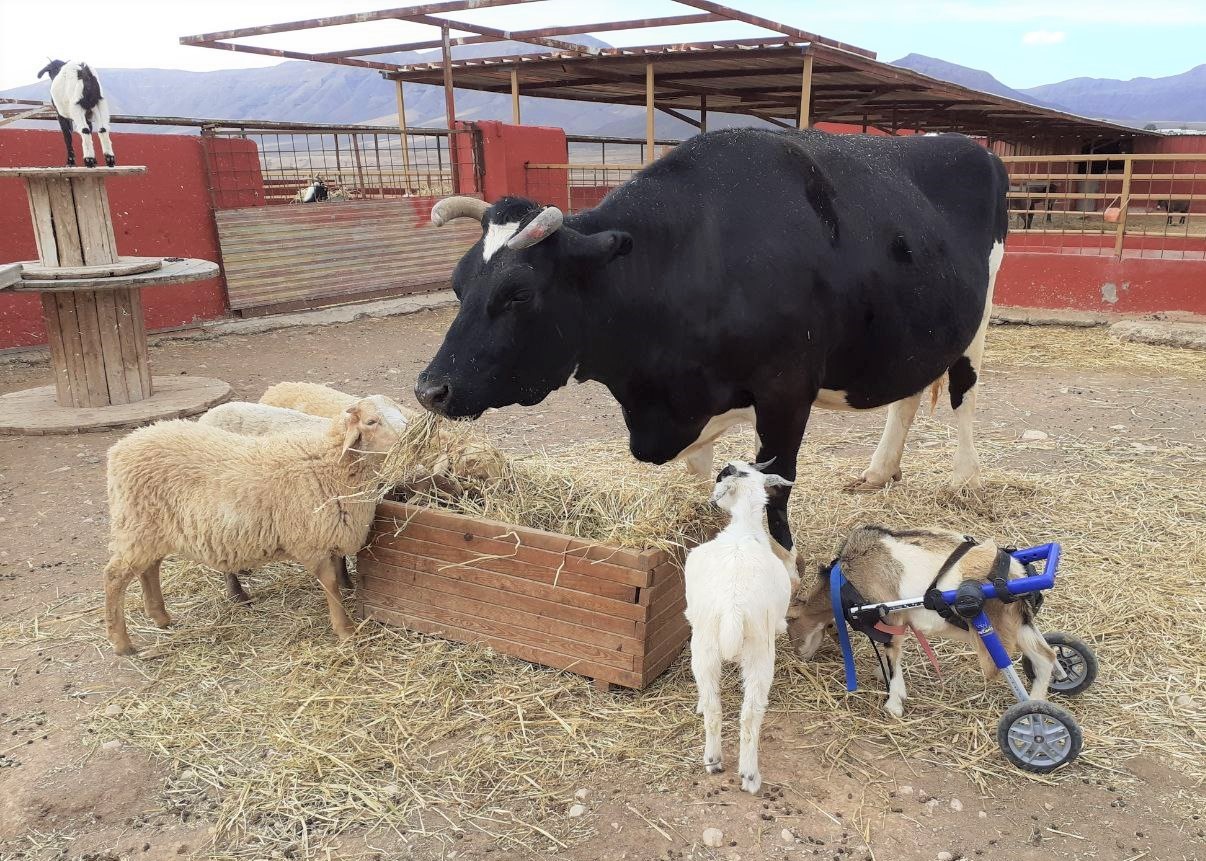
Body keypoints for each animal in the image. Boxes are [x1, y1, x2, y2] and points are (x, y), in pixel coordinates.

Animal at [103, 393, 405, 651]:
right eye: (371, 421)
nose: (408, 437)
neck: (329, 461)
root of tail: (121, 447)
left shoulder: (329, 533)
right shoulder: (310, 540)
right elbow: (330, 585)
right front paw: (345, 630)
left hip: (150, 528)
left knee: (149, 568)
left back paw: (161, 617)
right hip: (136, 523)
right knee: (115, 576)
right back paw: (122, 643)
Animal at [414, 127, 1008, 557]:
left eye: (518, 293)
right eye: (458, 284)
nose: (429, 390)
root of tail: (965, 144)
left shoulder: (786, 392)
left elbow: (776, 487)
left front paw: (783, 570)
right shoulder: (688, 401)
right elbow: (705, 474)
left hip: (978, 319)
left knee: (966, 392)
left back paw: (965, 481)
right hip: (917, 330)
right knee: (909, 391)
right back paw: (879, 471)